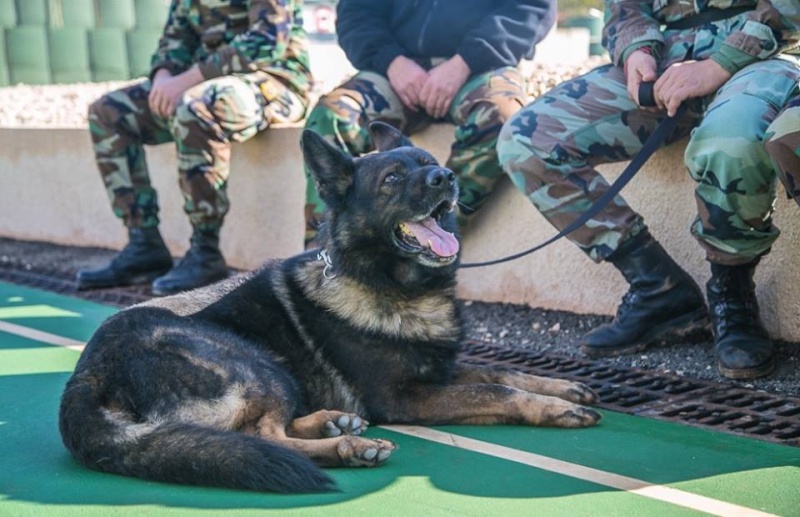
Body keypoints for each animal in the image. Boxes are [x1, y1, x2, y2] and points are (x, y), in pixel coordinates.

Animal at [59, 121, 600, 492]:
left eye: (430, 160)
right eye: (392, 178)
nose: (446, 177)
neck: (389, 283)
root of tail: (85, 379)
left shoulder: (438, 371)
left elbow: (504, 372)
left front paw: (561, 388)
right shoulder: (406, 398)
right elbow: (494, 389)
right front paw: (555, 409)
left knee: (266, 426)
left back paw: (334, 423)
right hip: (257, 365)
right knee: (265, 436)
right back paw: (348, 446)